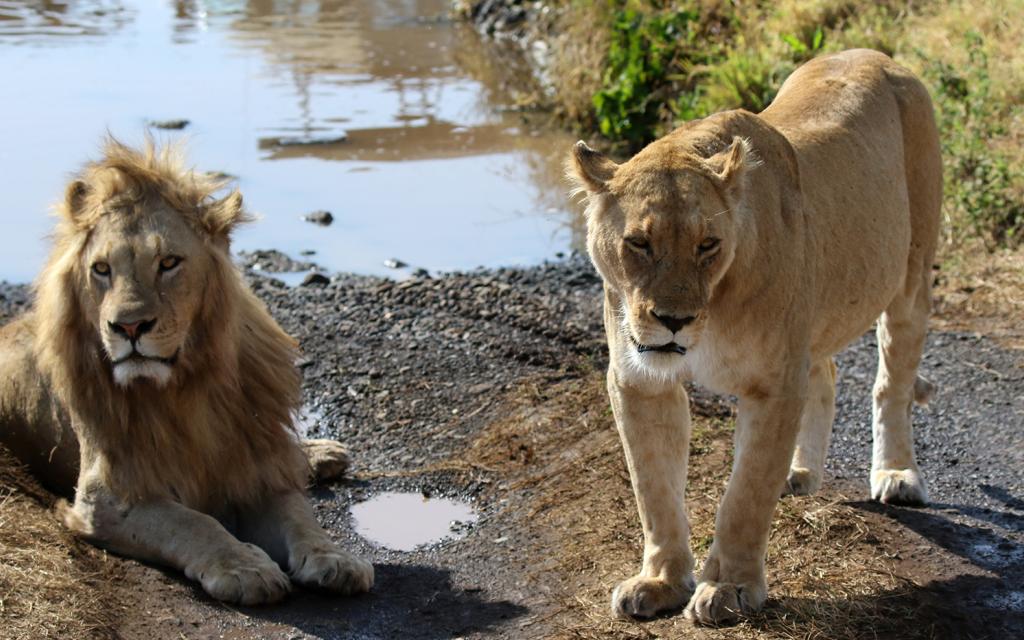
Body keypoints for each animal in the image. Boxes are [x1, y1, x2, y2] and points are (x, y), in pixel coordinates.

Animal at [0, 139, 376, 602]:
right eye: (102, 269)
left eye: (168, 263)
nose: (129, 327)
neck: (186, 386)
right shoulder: (104, 498)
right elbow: (193, 522)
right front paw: (244, 567)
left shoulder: (254, 467)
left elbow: (300, 517)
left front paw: (336, 559)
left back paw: (321, 453)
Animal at [573, 51, 937, 622]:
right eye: (638, 243)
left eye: (707, 244)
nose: (673, 320)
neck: (714, 309)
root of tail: (874, 54)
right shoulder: (639, 383)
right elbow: (653, 489)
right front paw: (660, 582)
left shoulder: (773, 384)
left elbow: (745, 496)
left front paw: (730, 589)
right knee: (826, 369)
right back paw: (801, 470)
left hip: (911, 275)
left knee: (891, 384)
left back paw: (897, 474)